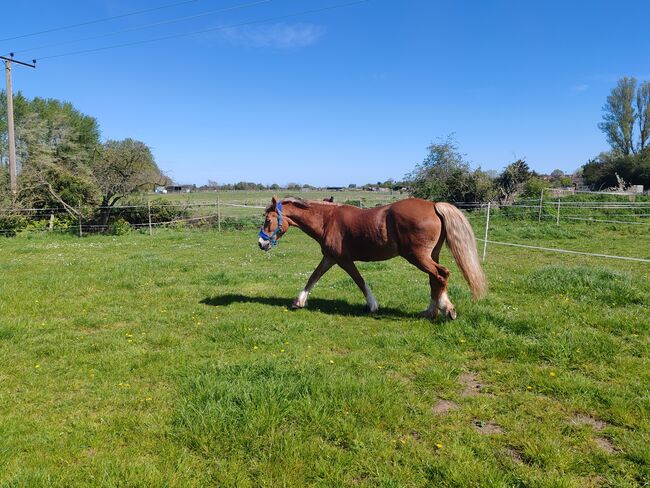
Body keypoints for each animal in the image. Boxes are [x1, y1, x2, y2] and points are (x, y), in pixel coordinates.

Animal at [256, 196, 484, 318]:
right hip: (429, 255)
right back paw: (431, 311)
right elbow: (313, 277)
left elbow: (359, 280)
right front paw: (299, 301)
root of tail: (434, 206)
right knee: (435, 279)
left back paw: (445, 310)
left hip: (418, 257)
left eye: (268, 220)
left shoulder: (343, 260)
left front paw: (373, 305)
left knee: (441, 275)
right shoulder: (329, 258)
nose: (261, 243)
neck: (328, 220)